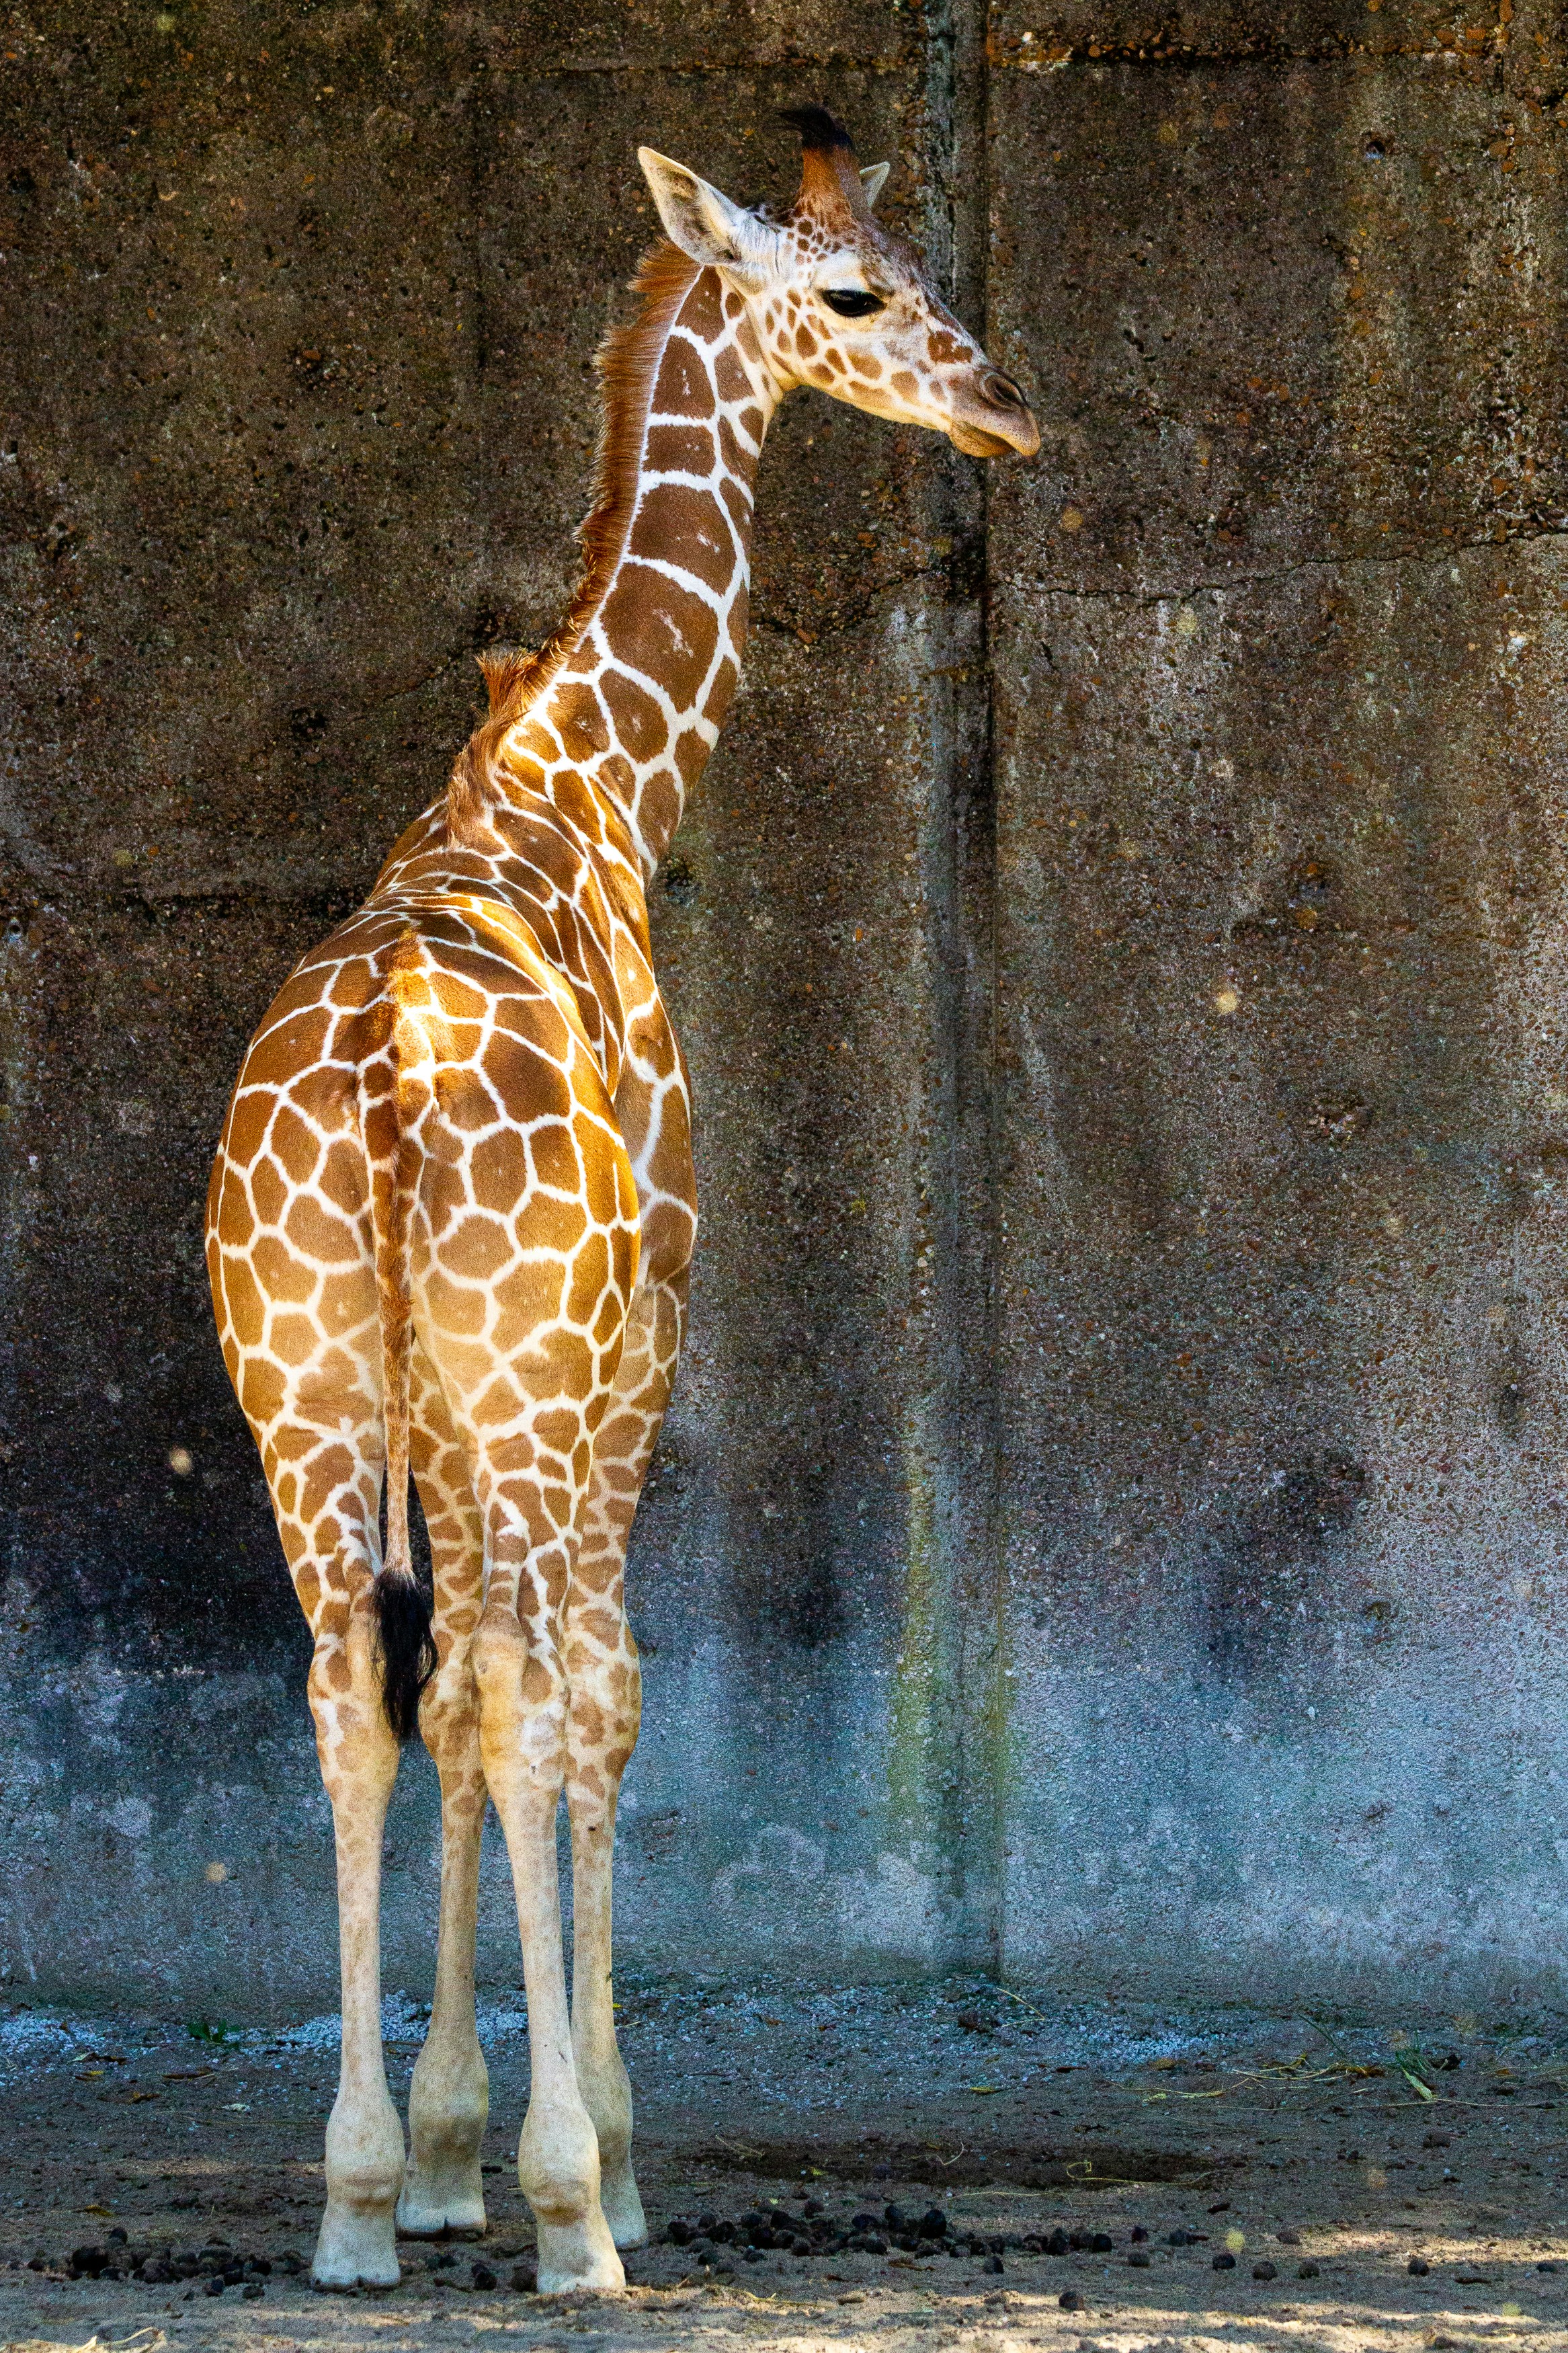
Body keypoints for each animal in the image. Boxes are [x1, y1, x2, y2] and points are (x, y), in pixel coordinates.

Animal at [206, 104, 1037, 2299]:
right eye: (861, 295)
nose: (1008, 404)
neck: (583, 779)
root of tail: (387, 1079)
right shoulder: (636, 1333)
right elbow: (600, 1697)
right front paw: (595, 2155)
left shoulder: (434, 1391)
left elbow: (450, 1702)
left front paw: (437, 2156)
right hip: (511, 1384)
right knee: (531, 1688)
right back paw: (577, 2212)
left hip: (303, 1389)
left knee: (349, 1695)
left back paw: (347, 2202)